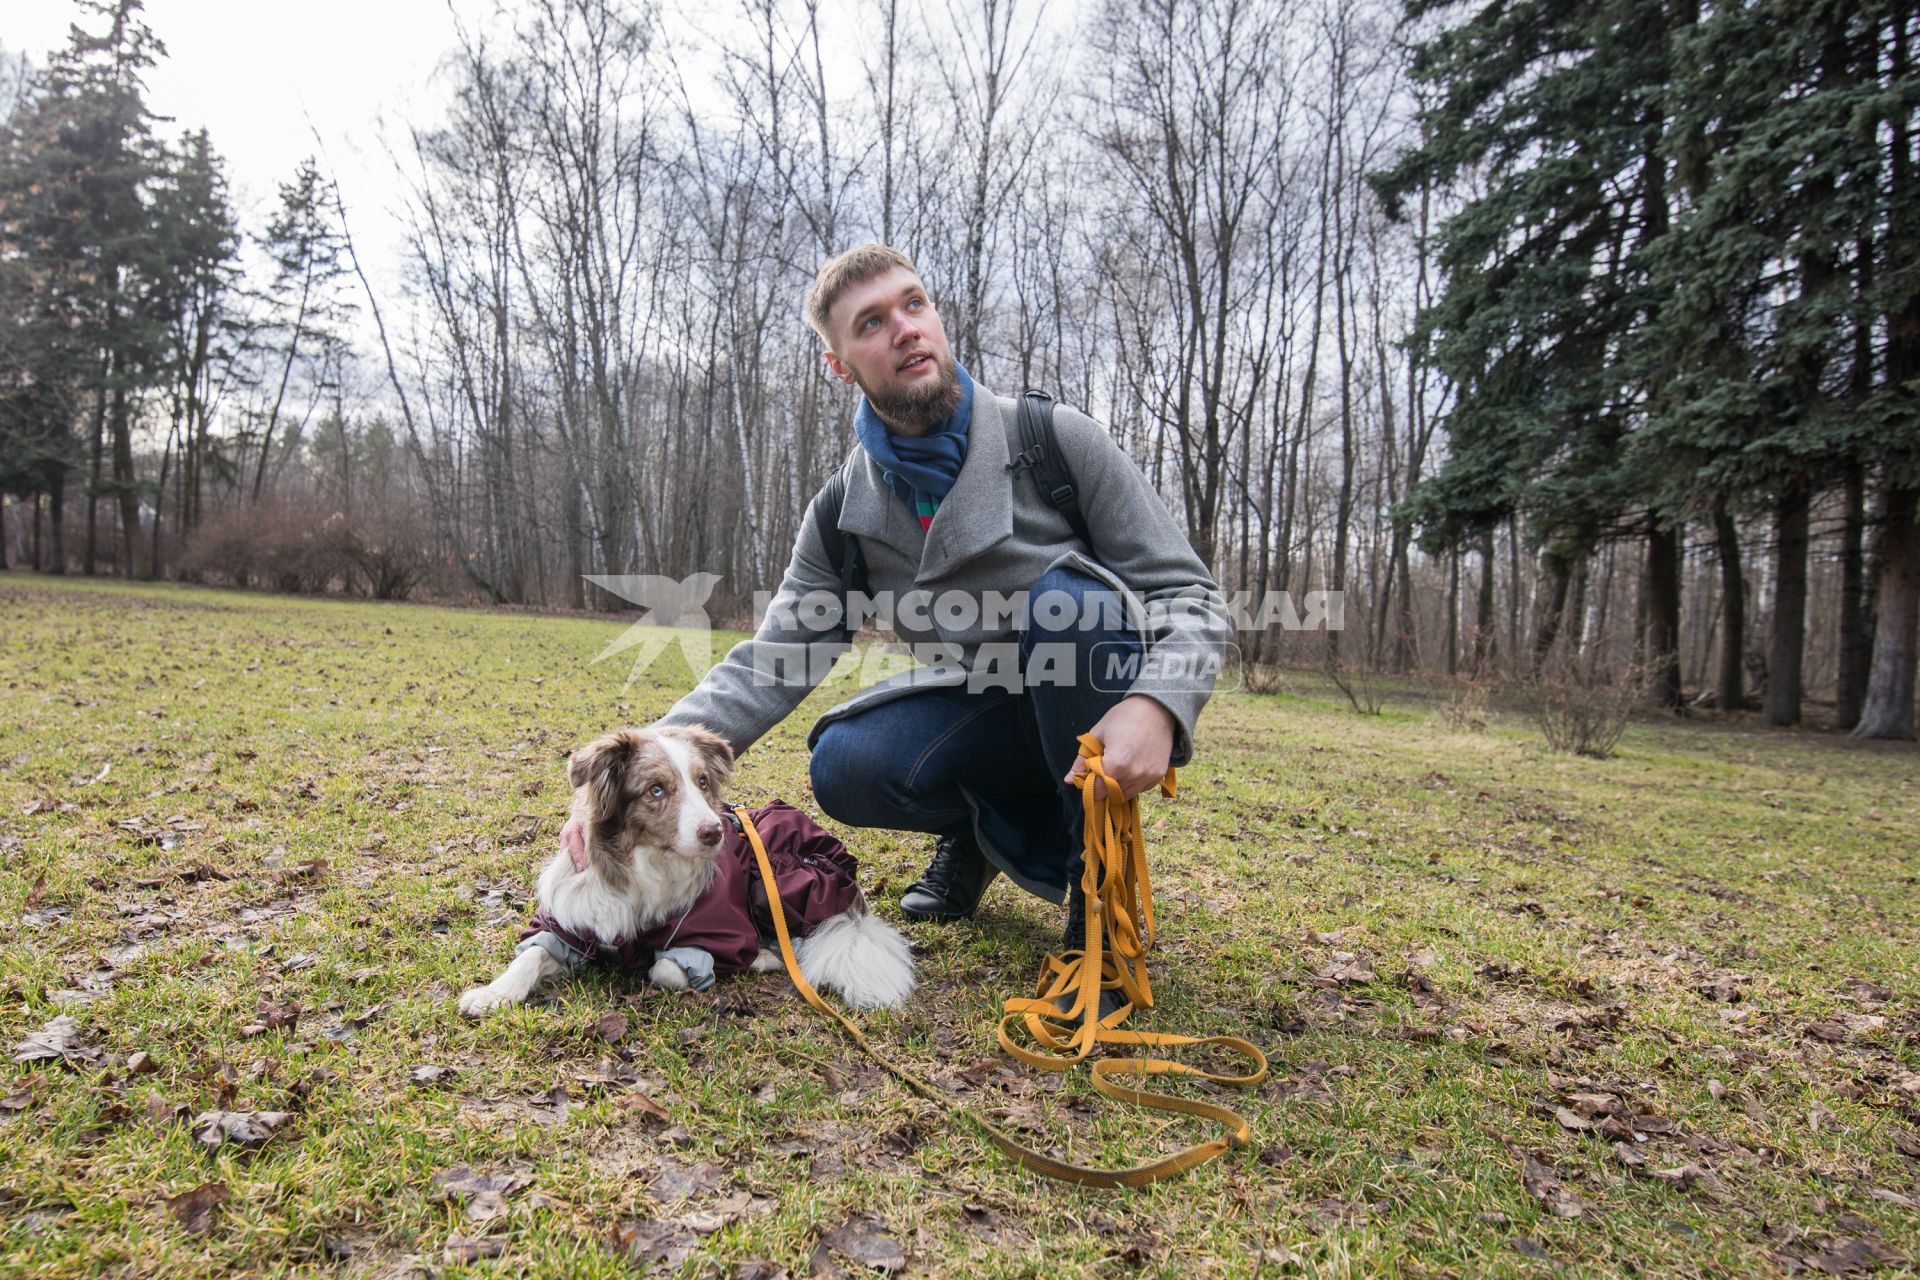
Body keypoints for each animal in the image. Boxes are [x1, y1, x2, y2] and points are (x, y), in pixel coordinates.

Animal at [460, 725, 917, 1013]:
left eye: (701, 782)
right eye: (656, 790)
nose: (714, 832)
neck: (644, 864)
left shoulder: (711, 930)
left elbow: (665, 968)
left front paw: (734, 962)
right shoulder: (573, 923)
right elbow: (532, 955)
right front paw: (492, 994)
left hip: (777, 881)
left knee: (800, 941)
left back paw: (766, 957)